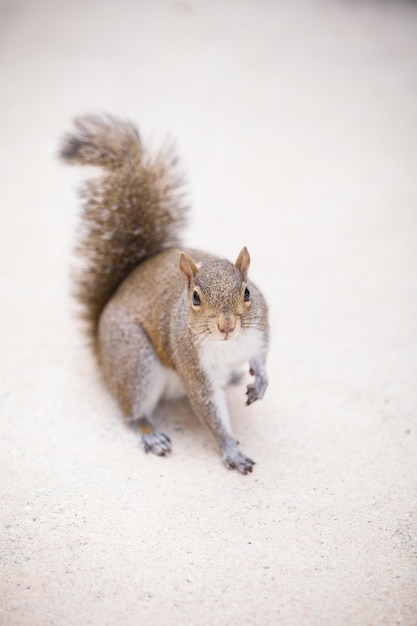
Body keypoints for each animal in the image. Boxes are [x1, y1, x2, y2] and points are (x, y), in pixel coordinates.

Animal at [59, 113, 270, 472]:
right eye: (195, 298)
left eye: (246, 292)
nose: (227, 326)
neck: (228, 346)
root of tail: (101, 350)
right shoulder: (192, 366)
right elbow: (210, 410)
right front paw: (231, 449)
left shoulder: (259, 328)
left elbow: (262, 355)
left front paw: (262, 381)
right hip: (136, 360)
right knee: (132, 412)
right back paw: (149, 433)